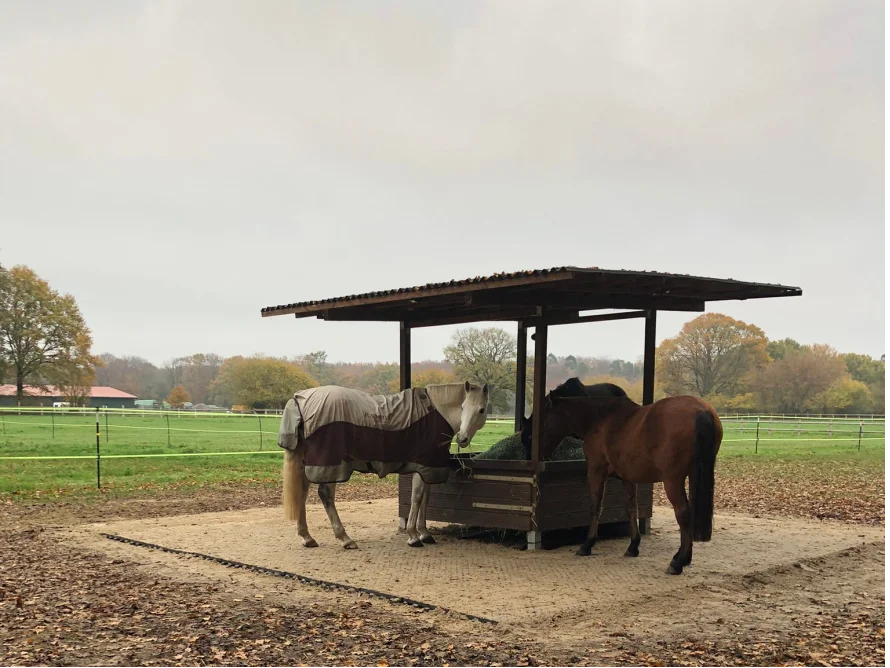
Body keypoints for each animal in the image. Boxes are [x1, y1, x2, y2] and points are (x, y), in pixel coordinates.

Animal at [280, 381, 489, 549]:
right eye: (462, 406)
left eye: (481, 409)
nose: (463, 438)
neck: (436, 411)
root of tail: (300, 399)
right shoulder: (422, 467)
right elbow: (417, 498)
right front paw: (414, 536)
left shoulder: (428, 469)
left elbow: (425, 499)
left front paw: (424, 533)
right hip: (331, 466)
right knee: (326, 496)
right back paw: (345, 539)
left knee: (302, 493)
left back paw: (307, 537)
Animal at [538, 394, 722, 575]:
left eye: (545, 419)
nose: (538, 449)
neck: (600, 419)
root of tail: (701, 410)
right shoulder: (628, 478)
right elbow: (632, 509)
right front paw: (633, 546)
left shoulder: (596, 472)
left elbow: (595, 507)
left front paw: (587, 545)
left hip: (673, 480)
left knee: (683, 513)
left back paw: (678, 562)